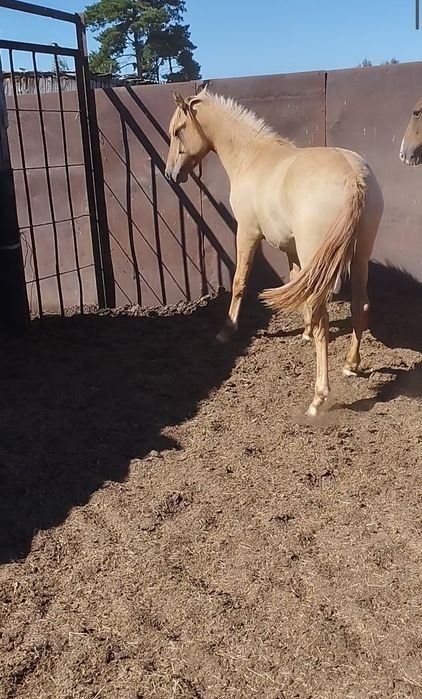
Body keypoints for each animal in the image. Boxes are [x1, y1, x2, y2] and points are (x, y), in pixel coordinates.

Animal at [165, 88, 384, 416]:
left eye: (178, 131)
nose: (171, 174)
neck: (252, 157)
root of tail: (354, 177)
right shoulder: (291, 248)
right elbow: (295, 281)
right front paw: (303, 331)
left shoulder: (246, 233)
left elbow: (240, 282)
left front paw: (226, 331)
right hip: (359, 257)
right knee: (361, 305)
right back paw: (350, 364)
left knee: (324, 319)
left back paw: (318, 399)